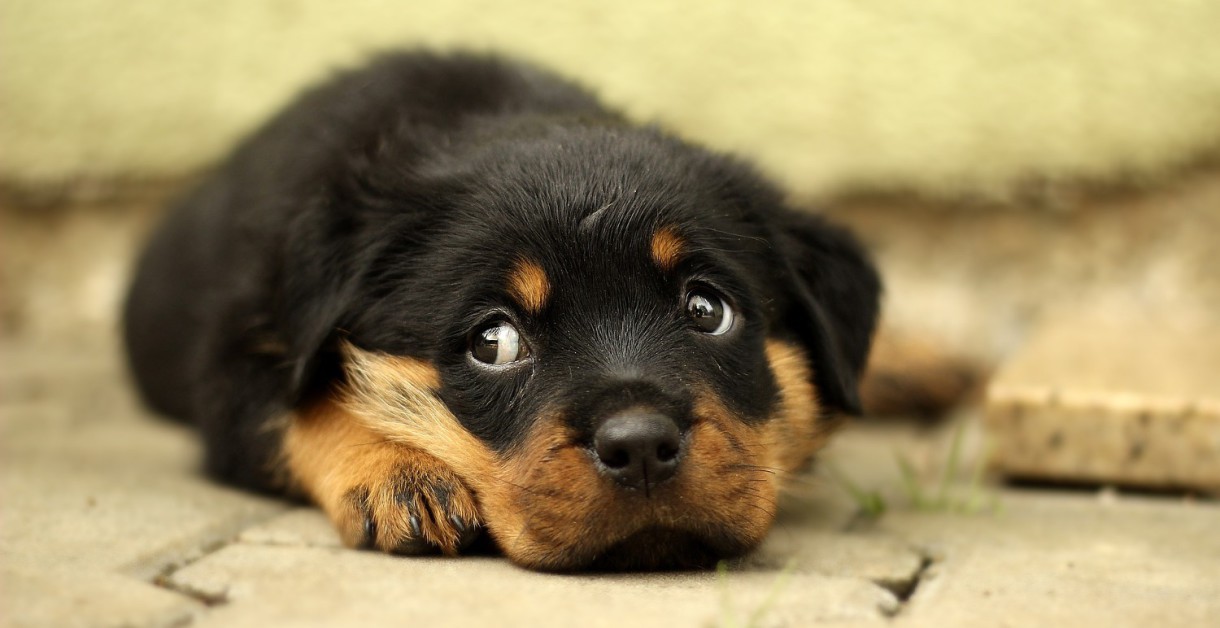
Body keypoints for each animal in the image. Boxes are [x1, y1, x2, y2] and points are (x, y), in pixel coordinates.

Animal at [123, 51, 883, 573]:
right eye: (494, 341)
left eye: (706, 309)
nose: (639, 446)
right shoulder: (240, 356)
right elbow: (303, 407)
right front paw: (397, 474)